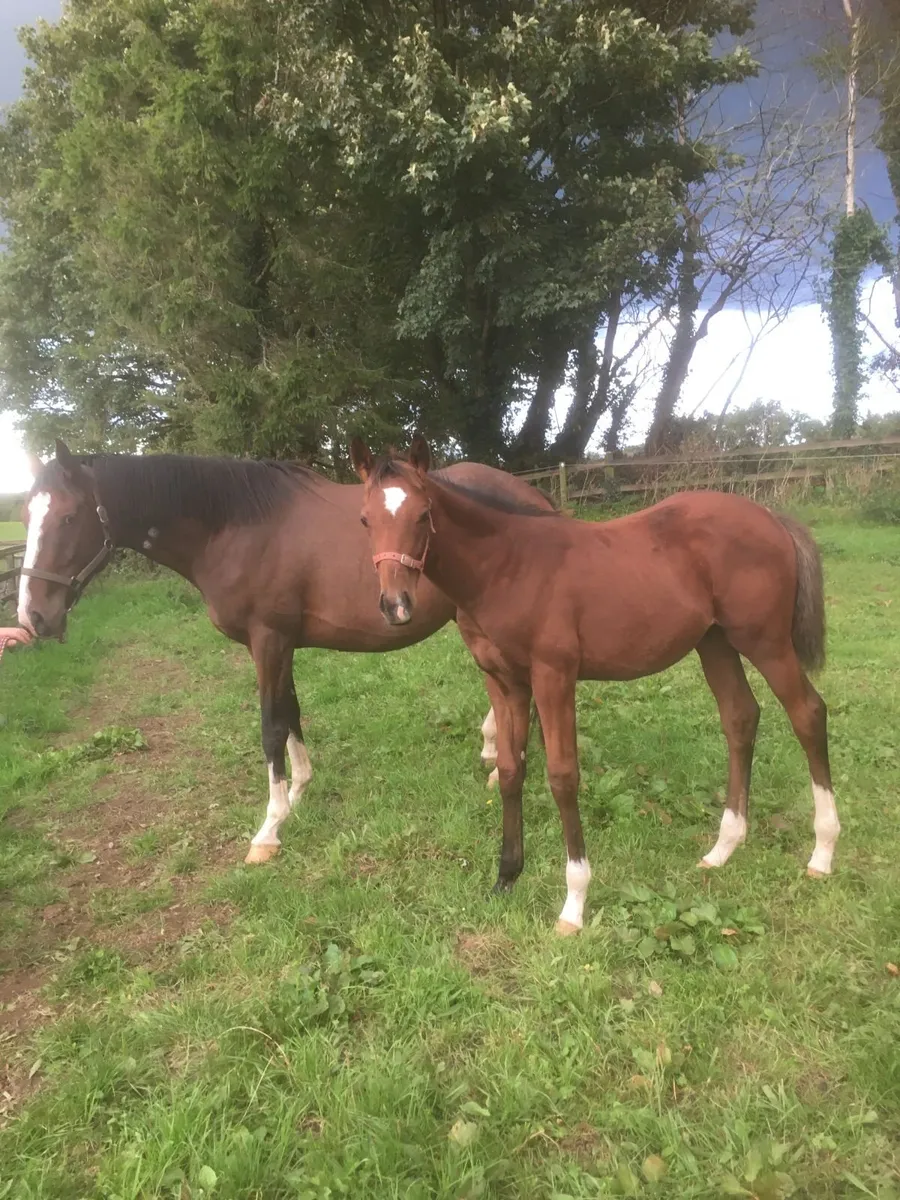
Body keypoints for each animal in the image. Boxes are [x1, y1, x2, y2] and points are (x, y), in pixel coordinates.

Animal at [16, 439, 555, 863]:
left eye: (69, 517)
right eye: (26, 515)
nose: (32, 616)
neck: (234, 528)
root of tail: (536, 497)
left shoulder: (268, 639)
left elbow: (271, 726)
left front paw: (270, 829)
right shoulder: (282, 643)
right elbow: (291, 711)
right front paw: (298, 792)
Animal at [350, 436, 839, 935]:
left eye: (423, 514)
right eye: (365, 519)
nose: (395, 605)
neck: (508, 566)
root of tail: (772, 518)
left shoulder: (553, 676)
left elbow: (562, 776)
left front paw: (574, 903)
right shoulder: (505, 682)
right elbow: (509, 770)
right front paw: (506, 878)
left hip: (766, 641)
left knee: (807, 714)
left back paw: (822, 852)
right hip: (716, 643)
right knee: (740, 717)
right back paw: (723, 848)